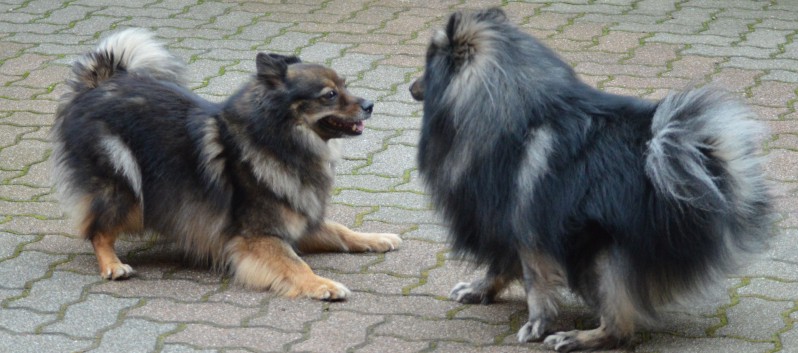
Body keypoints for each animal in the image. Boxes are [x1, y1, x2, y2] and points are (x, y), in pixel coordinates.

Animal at [51, 28, 400, 300]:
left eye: (345, 85)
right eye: (329, 95)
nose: (370, 104)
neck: (276, 141)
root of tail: (98, 84)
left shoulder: (297, 222)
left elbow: (341, 231)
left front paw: (377, 238)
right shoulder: (259, 236)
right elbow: (296, 264)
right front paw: (322, 284)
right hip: (127, 187)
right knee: (97, 229)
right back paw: (112, 265)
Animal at [410, 6, 772, 350]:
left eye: (428, 66)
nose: (411, 87)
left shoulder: (527, 226)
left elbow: (534, 283)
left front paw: (537, 324)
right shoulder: (507, 222)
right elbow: (501, 265)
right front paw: (479, 290)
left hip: (603, 256)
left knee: (619, 329)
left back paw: (574, 338)